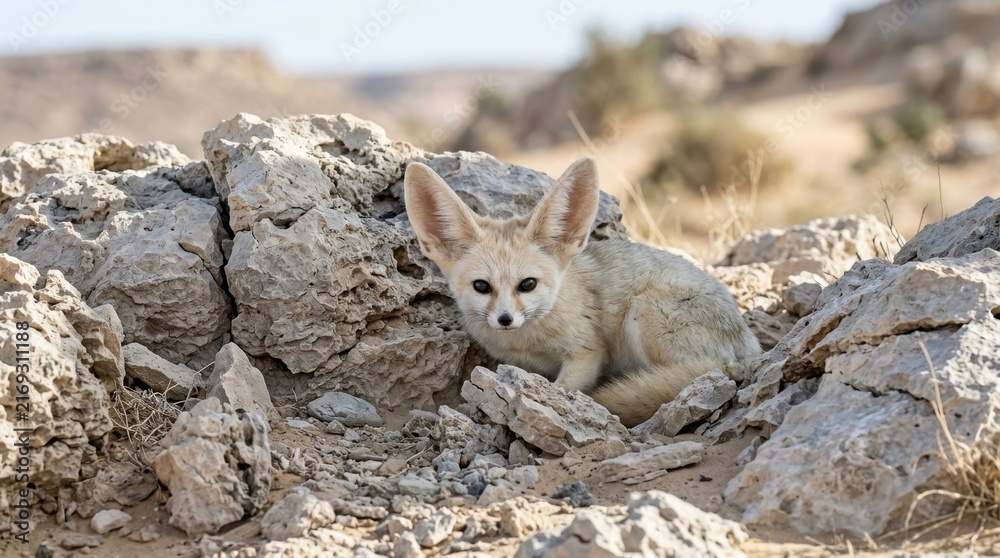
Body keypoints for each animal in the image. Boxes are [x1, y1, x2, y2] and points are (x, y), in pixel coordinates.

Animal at [403, 157, 761, 427]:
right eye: (481, 286)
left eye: (527, 284)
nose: (505, 319)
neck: (528, 341)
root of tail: (749, 352)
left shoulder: (587, 353)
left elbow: (561, 391)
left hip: (643, 311)